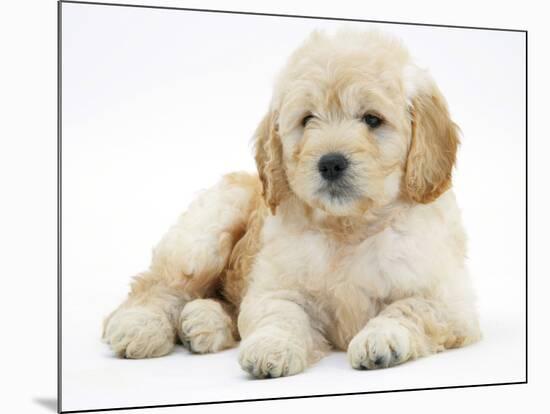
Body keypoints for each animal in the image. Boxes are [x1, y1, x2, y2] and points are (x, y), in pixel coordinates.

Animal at [104, 29, 484, 378]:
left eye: (372, 119)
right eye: (307, 119)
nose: (331, 163)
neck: (348, 226)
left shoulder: (450, 301)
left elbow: (409, 309)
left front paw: (382, 339)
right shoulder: (276, 287)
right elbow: (281, 314)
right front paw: (271, 348)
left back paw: (202, 321)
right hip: (205, 232)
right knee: (158, 285)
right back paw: (139, 326)